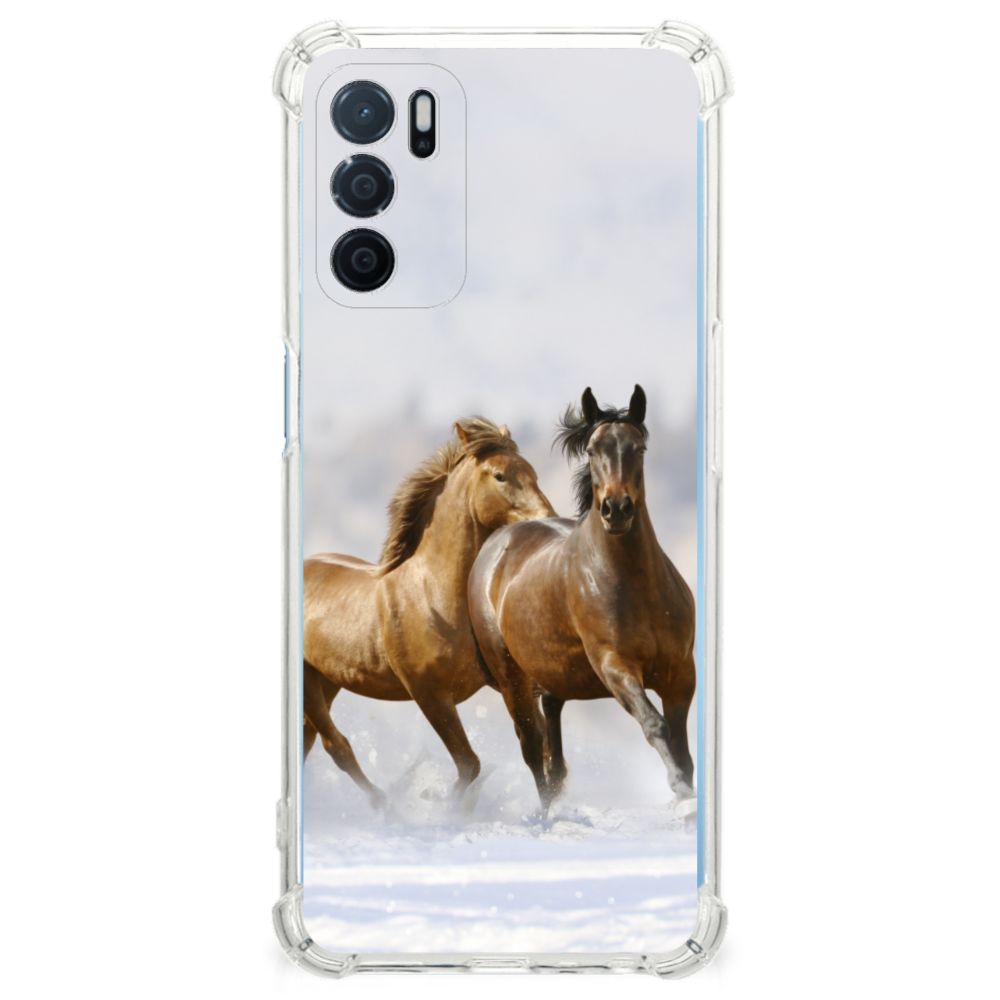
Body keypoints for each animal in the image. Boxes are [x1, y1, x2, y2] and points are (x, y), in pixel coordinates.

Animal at [304, 417, 555, 809]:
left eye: (533, 473)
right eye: (500, 475)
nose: (548, 519)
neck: (434, 597)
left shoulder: (508, 682)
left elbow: (536, 745)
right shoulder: (429, 694)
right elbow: (469, 763)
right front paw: (440, 804)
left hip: (327, 679)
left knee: (309, 740)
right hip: (307, 682)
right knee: (336, 745)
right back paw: (384, 805)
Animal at [468, 386, 696, 814]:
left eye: (639, 447)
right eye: (591, 450)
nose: (616, 509)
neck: (636, 587)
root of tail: (495, 545)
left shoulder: (680, 673)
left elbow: (680, 743)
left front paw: (687, 792)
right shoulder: (615, 666)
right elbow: (655, 724)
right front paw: (681, 792)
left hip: (552, 676)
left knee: (553, 749)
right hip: (512, 679)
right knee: (532, 748)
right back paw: (545, 814)